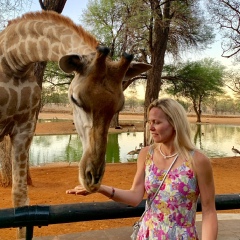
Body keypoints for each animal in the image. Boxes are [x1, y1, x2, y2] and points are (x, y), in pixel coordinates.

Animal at [0, 10, 150, 237]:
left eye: (119, 106)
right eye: (75, 99)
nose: (92, 178)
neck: (14, 61)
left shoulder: (24, 127)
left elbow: (20, 198)